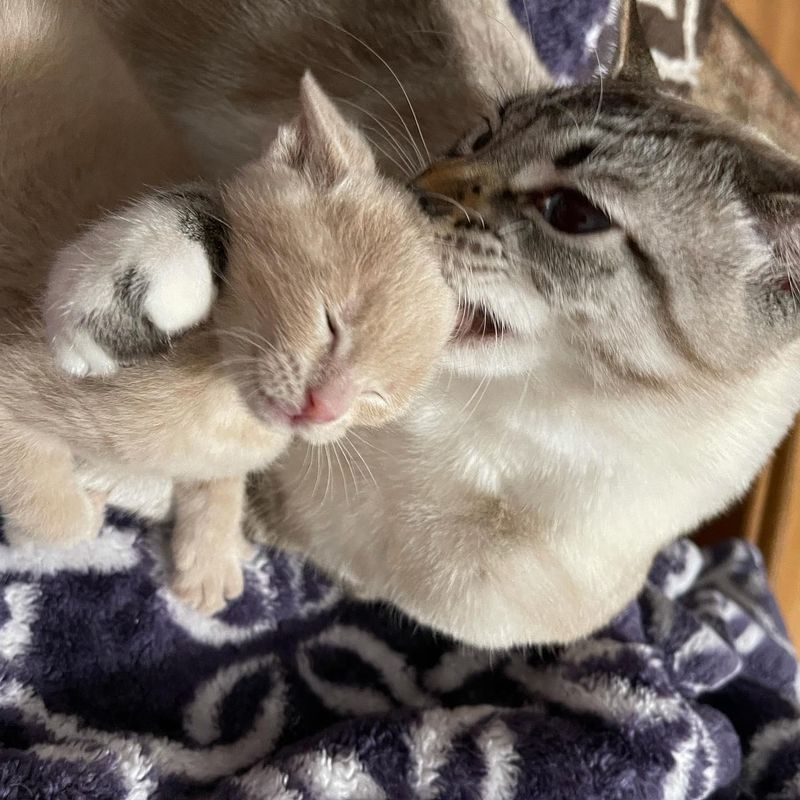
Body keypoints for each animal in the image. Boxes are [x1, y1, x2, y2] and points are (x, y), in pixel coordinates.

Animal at [0, 1, 454, 612]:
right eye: (332, 322)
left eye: (378, 397)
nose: (323, 410)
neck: (221, 402)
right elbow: (60, 518)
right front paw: (77, 511)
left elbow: (216, 481)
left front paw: (210, 548)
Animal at [53, 0, 800, 648]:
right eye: (484, 135)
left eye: (572, 213)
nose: (415, 192)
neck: (475, 444)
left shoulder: (315, 548)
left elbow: (206, 477)